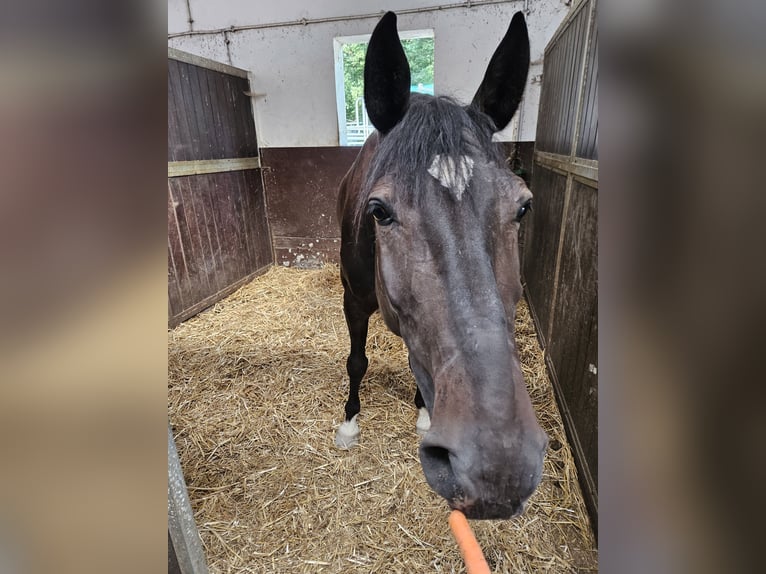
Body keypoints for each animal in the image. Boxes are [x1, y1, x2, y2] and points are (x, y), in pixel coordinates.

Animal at [340, 10, 548, 520]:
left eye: (523, 207)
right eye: (379, 211)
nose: (498, 466)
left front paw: (423, 411)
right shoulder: (352, 300)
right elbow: (357, 360)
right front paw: (349, 424)